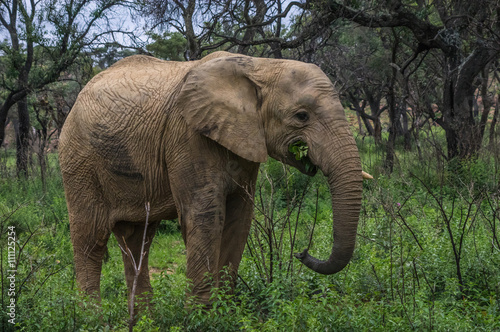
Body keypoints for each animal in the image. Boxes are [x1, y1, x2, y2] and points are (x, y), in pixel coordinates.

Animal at [58, 51, 366, 308]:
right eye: (301, 116)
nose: (302, 253)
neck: (260, 65)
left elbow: (239, 218)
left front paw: (224, 310)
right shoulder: (188, 135)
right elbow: (206, 216)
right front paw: (201, 315)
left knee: (136, 241)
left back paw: (145, 319)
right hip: (79, 161)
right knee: (91, 239)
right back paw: (92, 318)